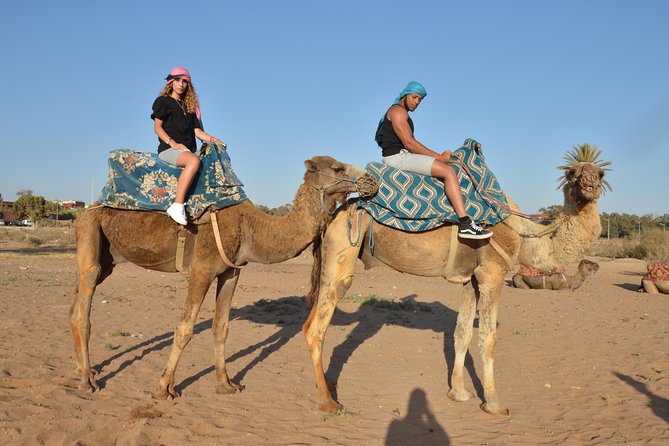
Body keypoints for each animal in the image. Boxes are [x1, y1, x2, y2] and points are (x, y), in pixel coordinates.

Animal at [69, 155, 374, 398]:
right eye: (337, 168)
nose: (370, 179)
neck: (250, 226)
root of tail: (86, 209)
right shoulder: (202, 268)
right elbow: (185, 328)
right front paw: (165, 387)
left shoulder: (231, 271)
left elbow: (221, 328)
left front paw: (226, 384)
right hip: (90, 231)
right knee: (84, 309)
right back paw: (86, 382)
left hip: (106, 256)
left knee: (75, 307)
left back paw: (85, 371)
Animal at [302, 144, 609, 415]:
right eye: (572, 173)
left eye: (601, 173)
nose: (590, 184)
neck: (523, 236)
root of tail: (335, 214)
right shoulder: (492, 274)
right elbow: (488, 338)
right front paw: (494, 404)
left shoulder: (471, 279)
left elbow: (462, 332)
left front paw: (459, 392)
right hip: (343, 251)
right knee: (317, 328)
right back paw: (329, 402)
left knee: (310, 321)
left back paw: (326, 387)